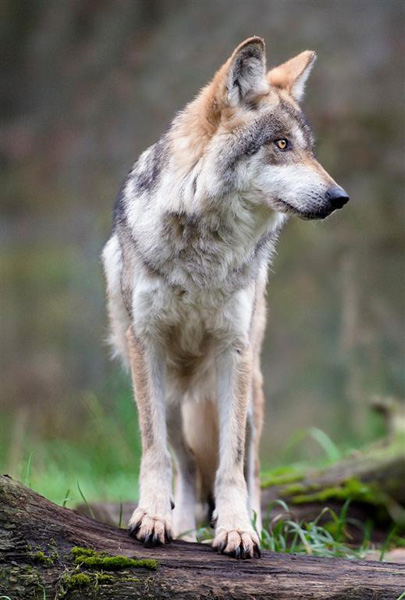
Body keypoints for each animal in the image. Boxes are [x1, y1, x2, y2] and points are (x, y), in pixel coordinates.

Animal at [101, 38, 348, 556]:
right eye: (281, 145)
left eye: (307, 148)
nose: (340, 197)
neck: (206, 249)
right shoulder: (145, 345)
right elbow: (153, 452)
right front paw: (151, 517)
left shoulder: (233, 351)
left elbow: (232, 464)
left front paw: (236, 529)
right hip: (174, 400)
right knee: (187, 466)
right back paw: (181, 528)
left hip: (249, 391)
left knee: (249, 465)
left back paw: (248, 523)